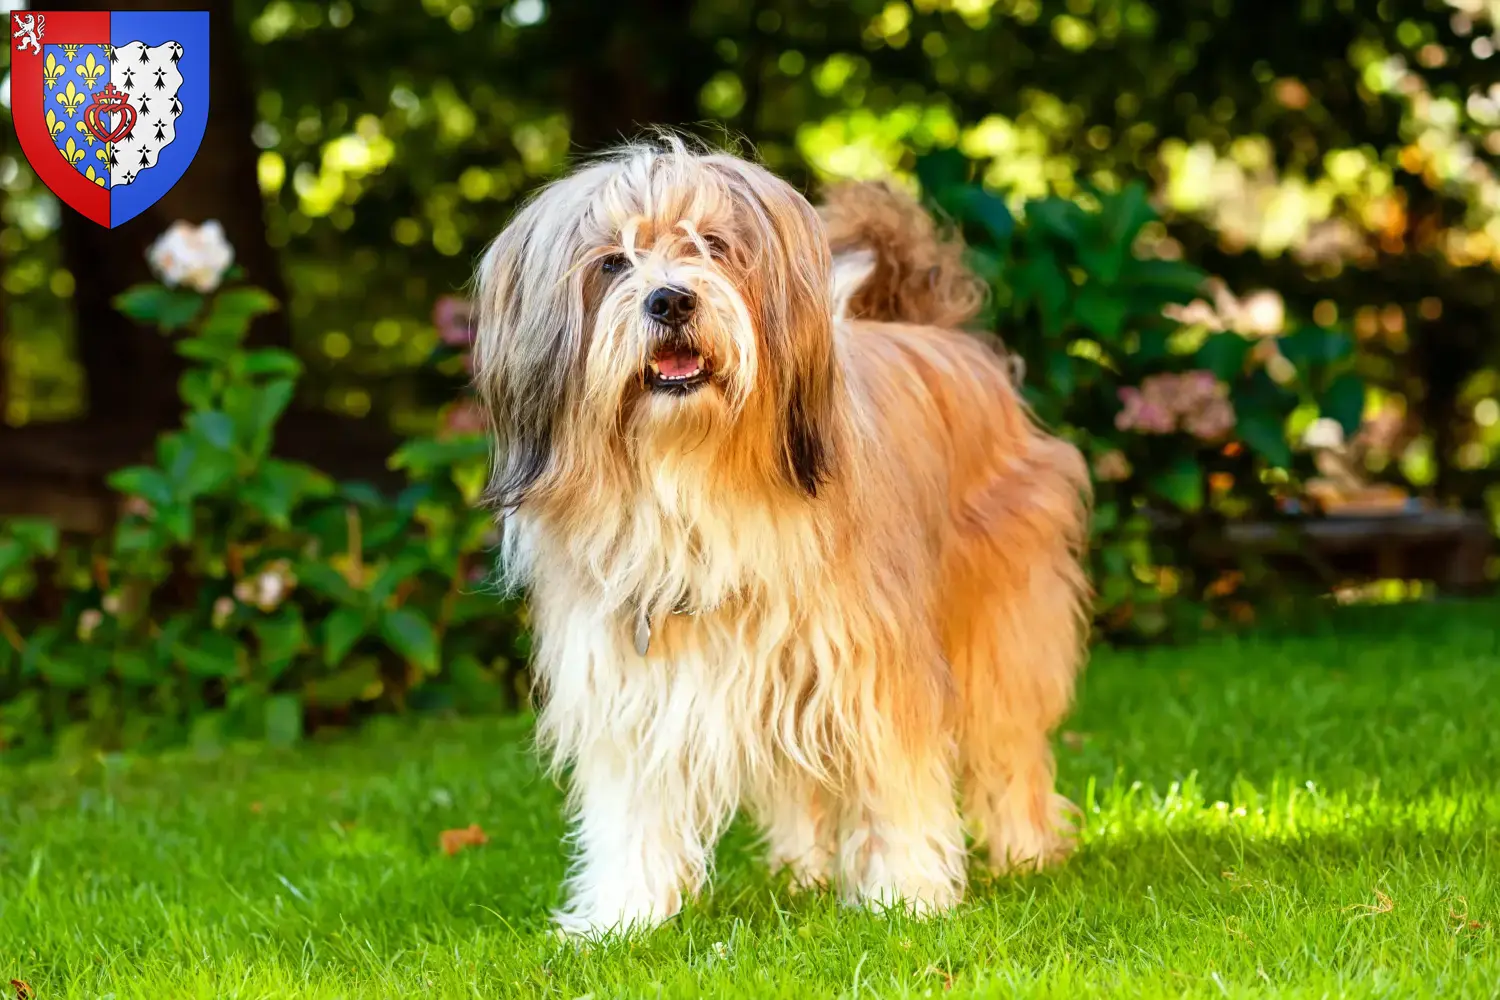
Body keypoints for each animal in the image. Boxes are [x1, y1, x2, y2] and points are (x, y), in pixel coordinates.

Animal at [477, 137, 1092, 935]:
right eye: (612, 262)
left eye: (712, 245)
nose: (670, 299)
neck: (694, 475)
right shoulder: (632, 678)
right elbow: (634, 809)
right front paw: (624, 916)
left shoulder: (871, 663)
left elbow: (895, 782)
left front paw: (904, 896)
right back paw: (802, 874)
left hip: (1001, 622)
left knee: (1009, 745)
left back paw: (1026, 852)